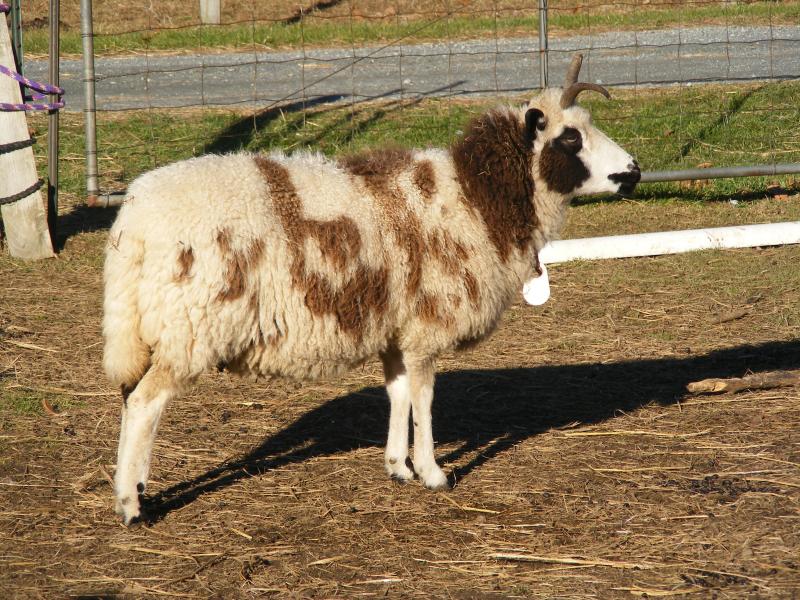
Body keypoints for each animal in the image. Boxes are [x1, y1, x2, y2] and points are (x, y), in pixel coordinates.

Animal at [104, 54, 640, 525]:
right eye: (570, 137)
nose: (634, 171)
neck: (477, 198)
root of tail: (134, 220)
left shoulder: (397, 330)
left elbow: (398, 393)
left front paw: (397, 467)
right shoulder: (427, 325)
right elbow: (424, 397)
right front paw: (432, 472)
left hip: (149, 327)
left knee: (129, 398)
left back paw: (130, 491)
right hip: (189, 328)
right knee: (145, 404)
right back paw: (132, 506)